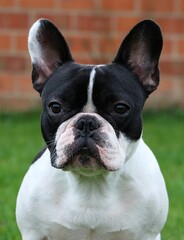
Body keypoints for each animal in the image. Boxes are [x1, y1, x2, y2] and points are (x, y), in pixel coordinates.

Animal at [15, 19, 168, 240]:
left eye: (120, 108)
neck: (91, 182)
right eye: (56, 107)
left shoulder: (148, 234)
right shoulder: (33, 232)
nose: (86, 122)